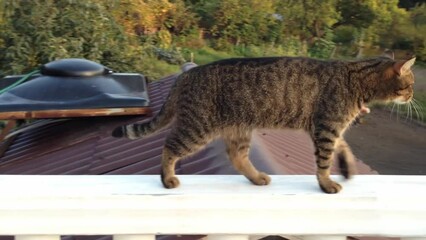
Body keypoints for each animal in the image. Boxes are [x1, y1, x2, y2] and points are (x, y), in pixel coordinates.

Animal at [111, 54, 414, 193]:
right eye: (410, 83)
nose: (413, 95)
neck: (356, 79)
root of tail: (186, 75)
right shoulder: (326, 127)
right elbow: (324, 161)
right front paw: (327, 183)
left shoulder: (328, 128)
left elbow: (343, 148)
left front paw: (348, 167)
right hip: (198, 129)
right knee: (168, 146)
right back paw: (167, 178)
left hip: (238, 129)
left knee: (237, 157)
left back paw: (256, 177)